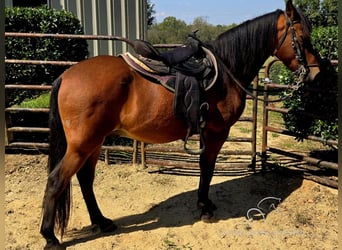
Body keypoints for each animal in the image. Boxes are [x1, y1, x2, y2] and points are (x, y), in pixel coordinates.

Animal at [41, 0, 322, 248]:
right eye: (303, 37)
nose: (316, 73)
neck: (226, 71)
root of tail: (65, 75)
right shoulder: (218, 132)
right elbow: (207, 168)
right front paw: (205, 208)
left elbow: (204, 167)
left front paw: (203, 204)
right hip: (82, 145)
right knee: (57, 181)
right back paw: (50, 237)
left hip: (95, 142)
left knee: (85, 179)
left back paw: (101, 221)